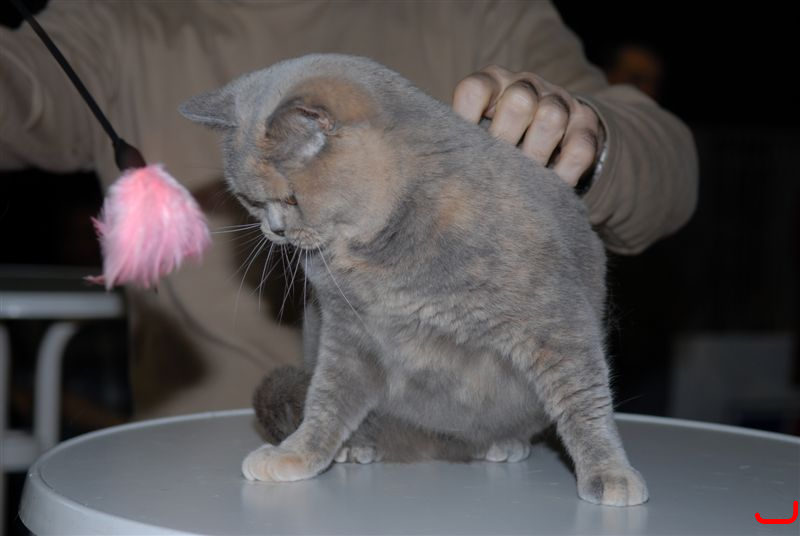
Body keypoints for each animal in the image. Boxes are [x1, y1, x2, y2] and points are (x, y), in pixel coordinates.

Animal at [180, 53, 648, 506]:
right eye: (250, 201)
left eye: (291, 198)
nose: (274, 230)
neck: (378, 254)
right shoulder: (347, 333)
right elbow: (326, 399)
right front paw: (297, 454)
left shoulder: (558, 323)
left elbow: (585, 401)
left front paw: (610, 474)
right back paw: (359, 446)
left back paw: (502, 443)